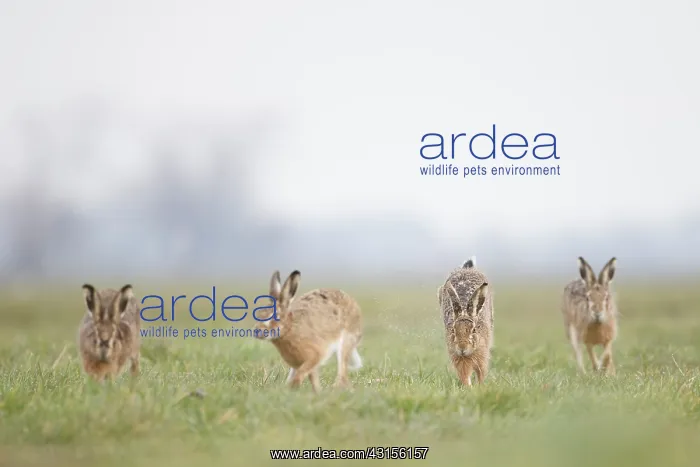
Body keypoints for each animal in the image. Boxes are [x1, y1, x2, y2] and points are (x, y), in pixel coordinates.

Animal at [437, 257, 494, 387]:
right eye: (453, 330)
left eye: (474, 330)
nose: (462, 347)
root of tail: (467, 269)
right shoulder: (458, 358)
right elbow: (465, 375)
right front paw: (469, 387)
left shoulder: (482, 354)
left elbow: (480, 373)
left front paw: (479, 387)